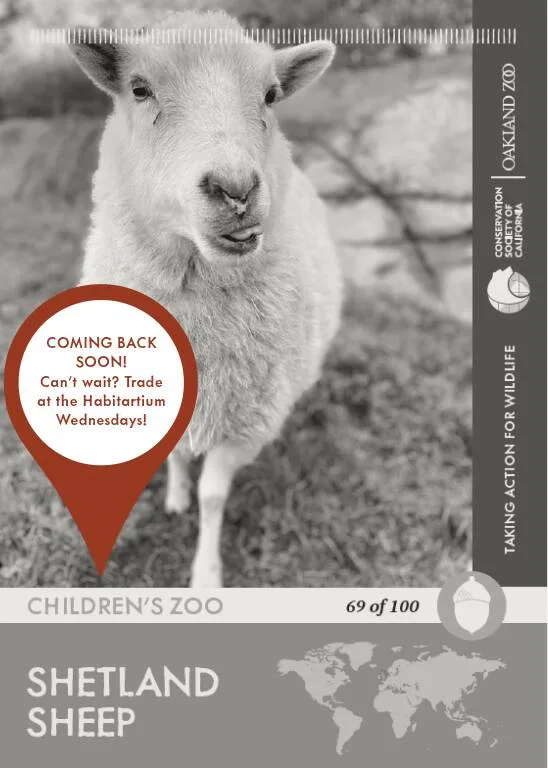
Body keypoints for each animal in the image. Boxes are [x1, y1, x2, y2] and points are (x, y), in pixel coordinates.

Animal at [69, 10, 343, 587]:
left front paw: (206, 574)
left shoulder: (246, 423)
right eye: (139, 89)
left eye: (271, 94)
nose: (236, 189)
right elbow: (173, 458)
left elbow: (213, 497)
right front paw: (174, 497)